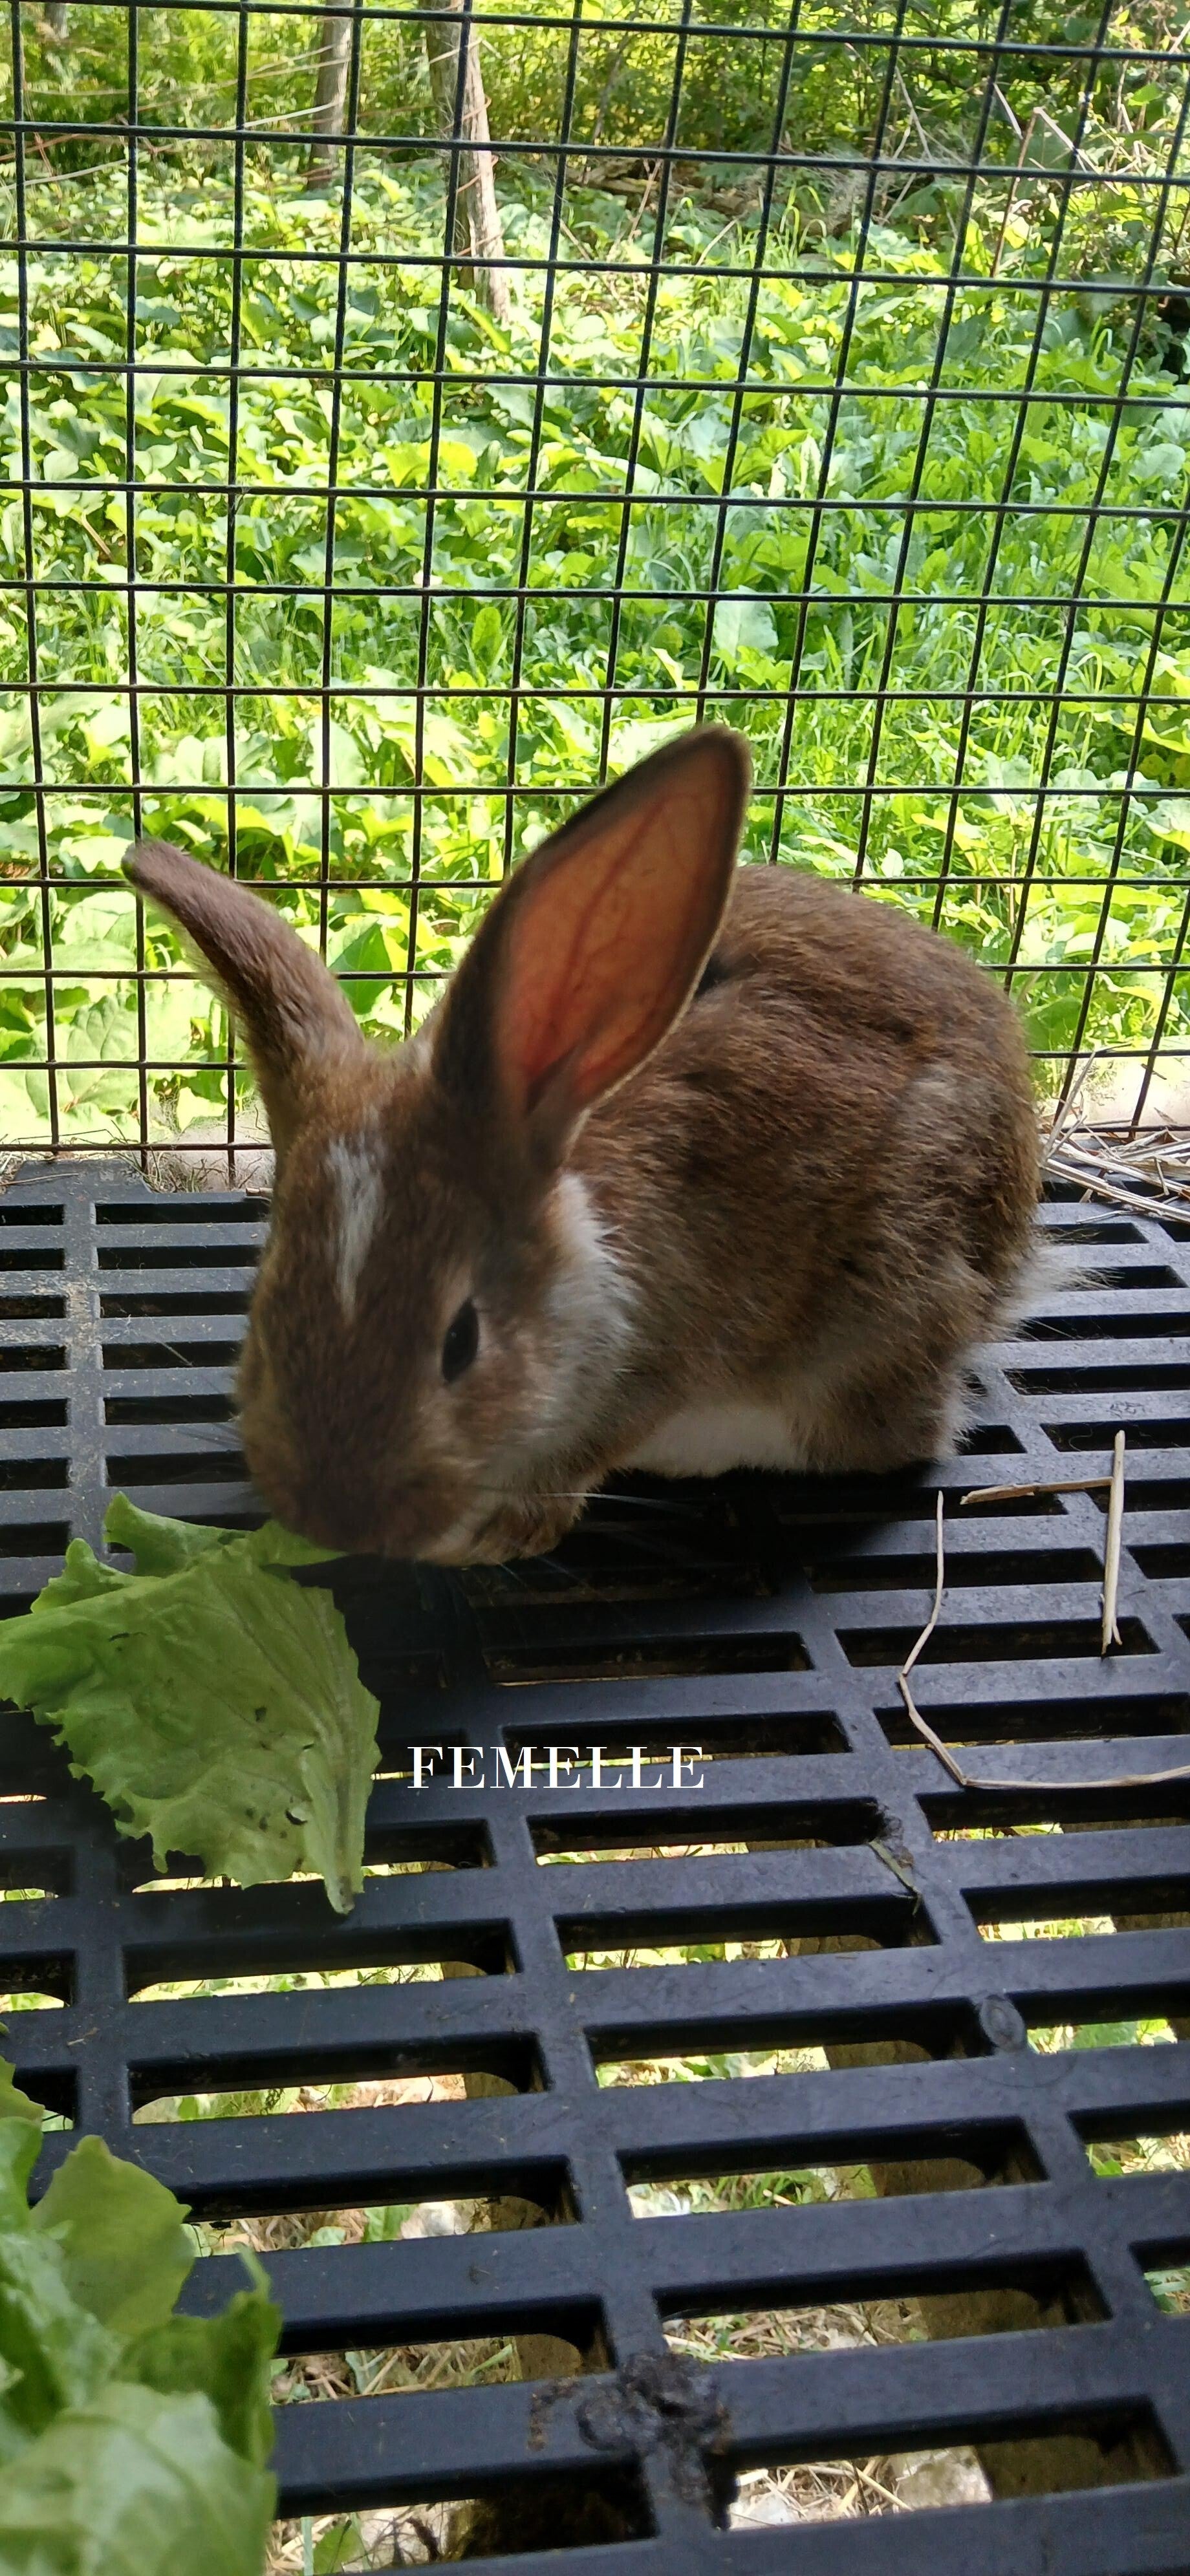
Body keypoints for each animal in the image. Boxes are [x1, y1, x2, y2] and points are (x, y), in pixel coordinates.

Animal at [125, 725, 1039, 1564]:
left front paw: (496, 1537)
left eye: (462, 1343)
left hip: (878, 1314)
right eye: (265, 1316)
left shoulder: (657, 1362)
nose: (338, 1521)